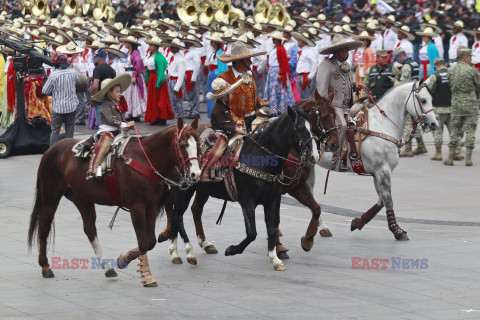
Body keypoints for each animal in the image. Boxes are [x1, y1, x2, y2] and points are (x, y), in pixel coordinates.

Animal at [28, 118, 201, 288]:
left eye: (198, 144)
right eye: (183, 145)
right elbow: (143, 243)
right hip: (50, 195)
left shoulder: (151, 206)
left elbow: (150, 242)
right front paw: (146, 275)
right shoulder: (137, 207)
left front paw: (124, 259)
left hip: (82, 198)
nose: (196, 173)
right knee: (44, 227)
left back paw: (107, 267)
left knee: (90, 230)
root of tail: (51, 149)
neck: (144, 160)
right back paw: (45, 266)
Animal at [159, 90, 340, 262]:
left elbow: (315, 209)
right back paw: (174, 245)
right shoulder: (250, 200)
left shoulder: (294, 188)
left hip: (202, 189)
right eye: (324, 116)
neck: (263, 156)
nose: (334, 145)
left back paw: (203, 243)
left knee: (194, 210)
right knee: (177, 213)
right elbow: (259, 229)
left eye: (336, 116)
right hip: (184, 189)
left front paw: (307, 240)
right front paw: (276, 249)